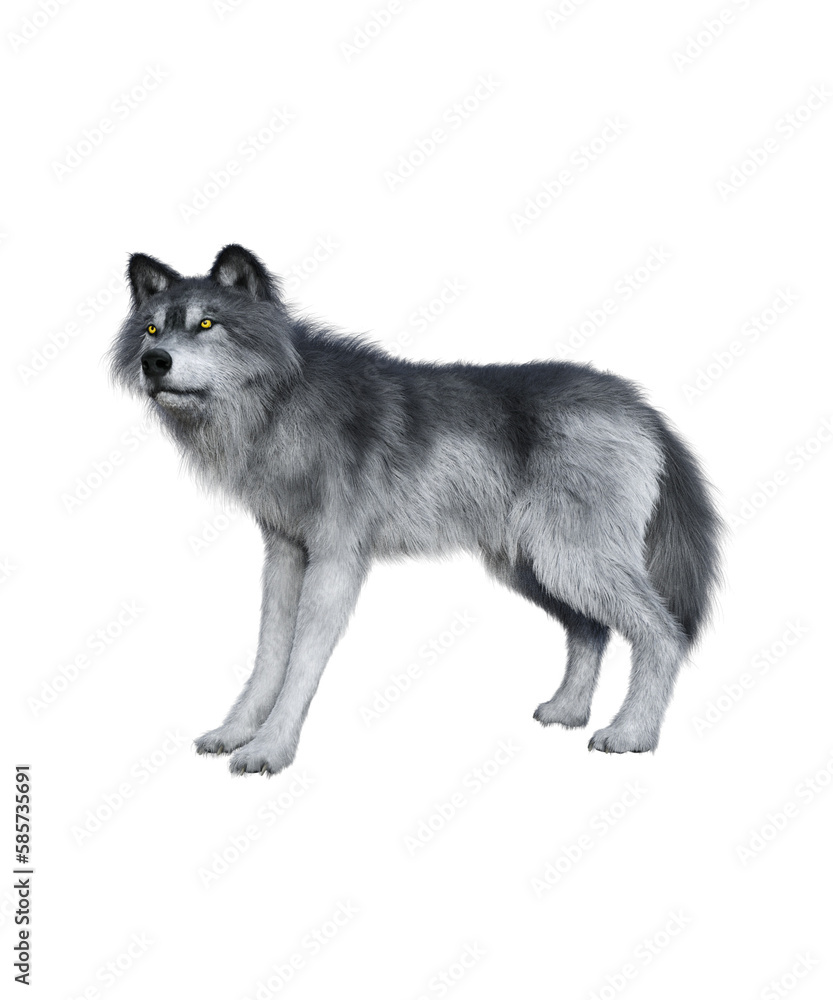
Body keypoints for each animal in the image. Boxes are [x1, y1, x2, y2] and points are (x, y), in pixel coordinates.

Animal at [109, 244, 721, 774]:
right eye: (152, 328)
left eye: (207, 324)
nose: (153, 362)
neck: (285, 401)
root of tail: (641, 407)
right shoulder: (284, 553)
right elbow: (268, 654)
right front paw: (234, 733)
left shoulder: (337, 560)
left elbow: (303, 661)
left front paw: (269, 750)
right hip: (535, 568)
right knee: (591, 630)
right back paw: (568, 712)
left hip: (570, 562)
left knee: (663, 632)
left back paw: (632, 734)